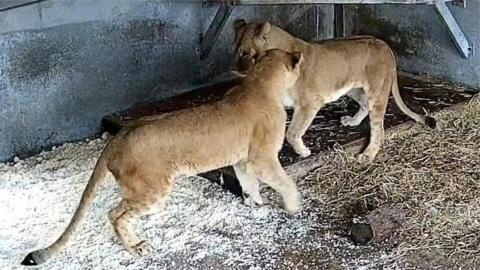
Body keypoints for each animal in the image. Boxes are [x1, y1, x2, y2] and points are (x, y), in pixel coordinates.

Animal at [21, 48, 304, 266]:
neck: (260, 82)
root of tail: (118, 138)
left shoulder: (243, 160)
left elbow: (248, 184)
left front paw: (255, 204)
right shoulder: (263, 157)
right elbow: (285, 182)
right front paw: (294, 206)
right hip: (153, 189)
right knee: (115, 214)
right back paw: (136, 246)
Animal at [232, 20, 436, 162]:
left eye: (245, 53)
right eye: (235, 50)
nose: (235, 68)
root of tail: (385, 45)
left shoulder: (309, 103)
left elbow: (293, 132)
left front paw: (303, 151)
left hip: (377, 93)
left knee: (379, 130)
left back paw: (367, 155)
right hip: (353, 88)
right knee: (364, 105)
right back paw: (352, 121)